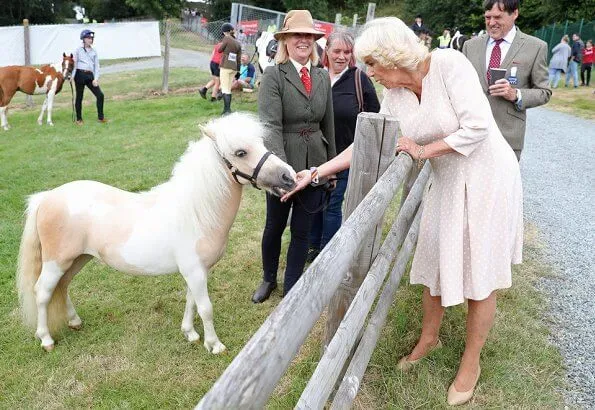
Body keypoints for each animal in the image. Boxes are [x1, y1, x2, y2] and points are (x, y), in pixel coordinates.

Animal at [17, 113, 296, 354]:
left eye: (260, 143)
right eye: (240, 152)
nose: (289, 176)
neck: (195, 212)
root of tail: (46, 198)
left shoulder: (197, 271)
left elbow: (191, 301)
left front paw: (190, 334)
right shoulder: (195, 271)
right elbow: (205, 307)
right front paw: (214, 345)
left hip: (78, 259)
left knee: (62, 286)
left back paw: (74, 321)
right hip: (56, 262)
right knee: (43, 292)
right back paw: (46, 339)